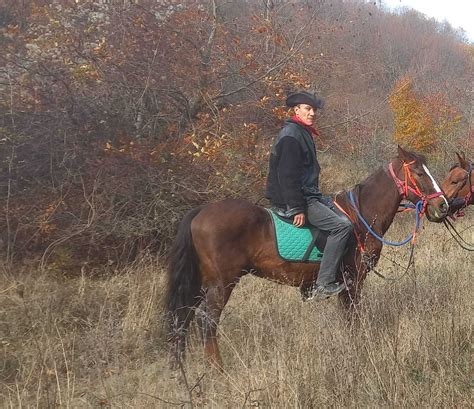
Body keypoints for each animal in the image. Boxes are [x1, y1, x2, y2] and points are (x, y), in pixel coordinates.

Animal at [166, 146, 448, 366]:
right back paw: (218, 370)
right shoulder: (354, 280)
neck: (362, 215)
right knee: (207, 322)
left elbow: (348, 318)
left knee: (184, 321)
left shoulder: (346, 285)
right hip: (221, 284)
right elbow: (354, 318)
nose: (443, 205)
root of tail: (200, 212)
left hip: (200, 285)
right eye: (420, 173)